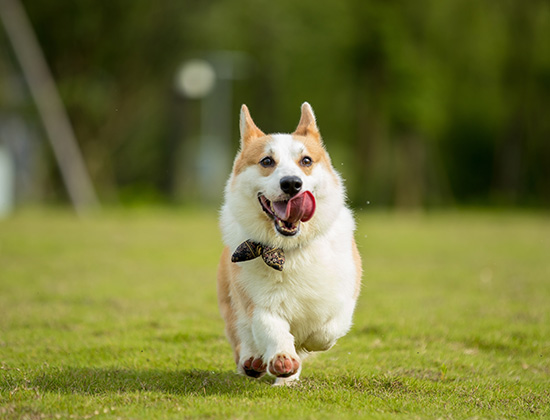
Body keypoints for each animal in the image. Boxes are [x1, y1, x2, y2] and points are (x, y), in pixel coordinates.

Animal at [218, 101, 364, 384]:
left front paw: (308, 343)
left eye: (306, 161)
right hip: (231, 303)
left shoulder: (344, 298)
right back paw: (253, 362)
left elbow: (326, 330)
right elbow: (272, 330)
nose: (292, 184)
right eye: (267, 161)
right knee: (243, 336)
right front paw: (283, 359)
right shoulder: (259, 304)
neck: (290, 248)